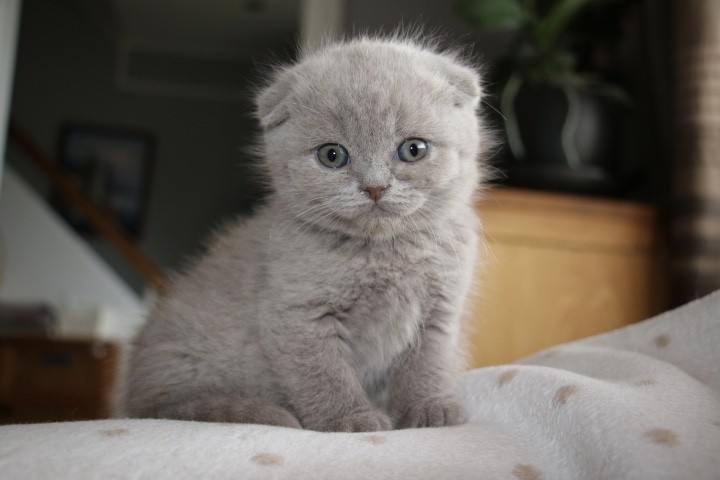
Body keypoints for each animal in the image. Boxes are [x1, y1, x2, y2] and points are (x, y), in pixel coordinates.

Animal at [122, 37, 490, 434]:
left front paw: (430, 409)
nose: (375, 187)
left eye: (413, 149)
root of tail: (135, 394)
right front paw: (352, 418)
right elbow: (326, 376)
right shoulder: (298, 314)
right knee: (171, 410)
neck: (383, 254)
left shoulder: (441, 312)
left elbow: (428, 367)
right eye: (332, 155)